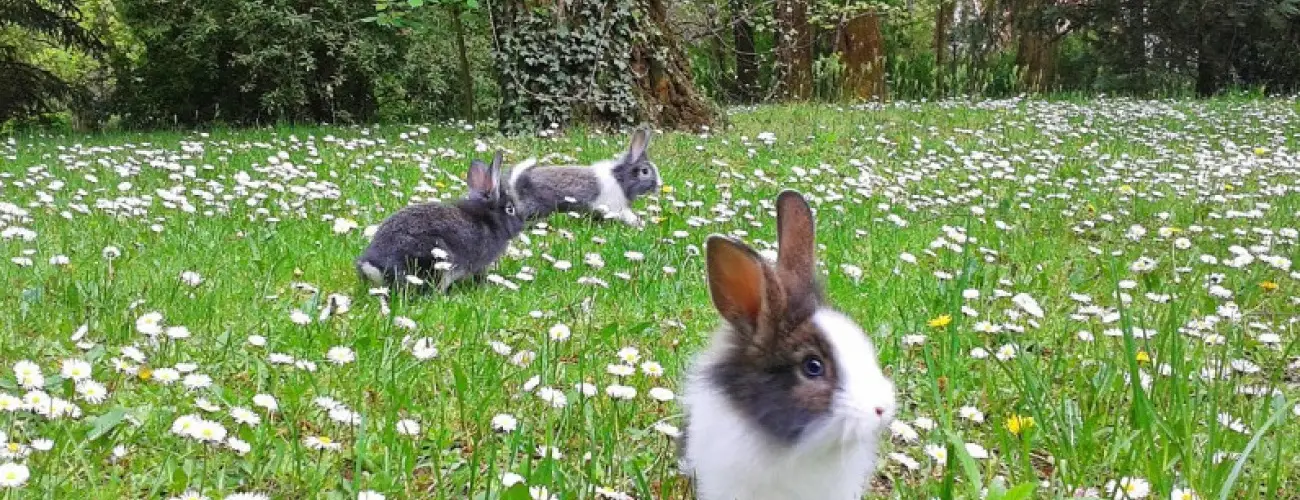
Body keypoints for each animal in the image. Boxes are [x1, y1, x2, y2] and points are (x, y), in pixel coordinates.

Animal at [501, 126, 655, 225]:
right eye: (645, 171)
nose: (657, 186)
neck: (621, 179)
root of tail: (517, 183)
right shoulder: (615, 206)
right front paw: (638, 223)